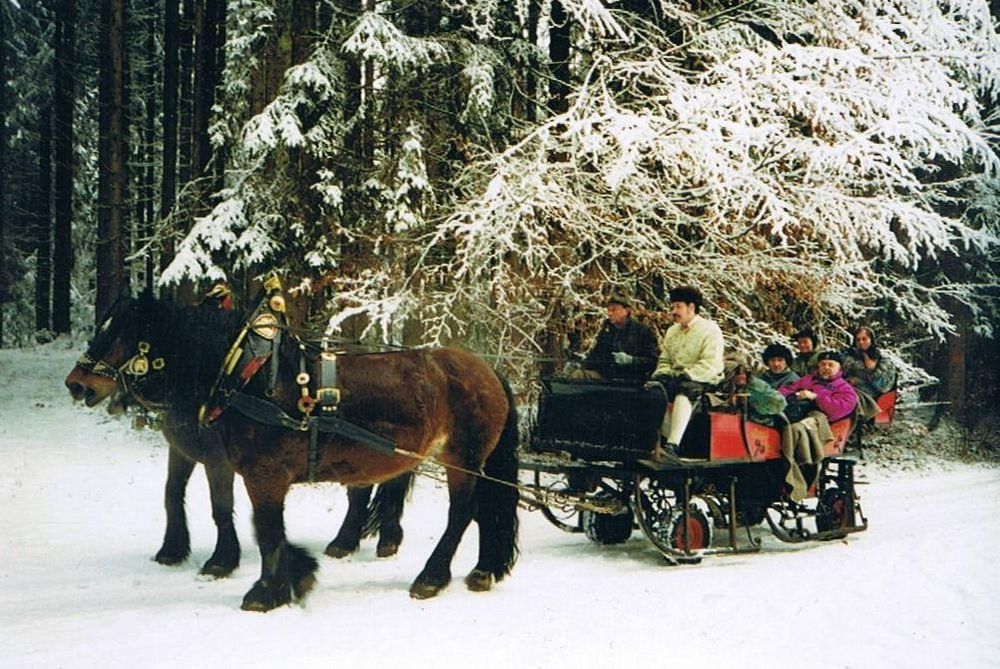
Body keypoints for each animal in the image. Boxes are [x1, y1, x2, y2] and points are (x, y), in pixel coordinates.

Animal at [66, 292, 520, 612]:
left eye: (120, 333)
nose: (77, 384)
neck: (246, 378)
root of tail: (488, 370)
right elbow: (241, 519)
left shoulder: (261, 474)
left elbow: (266, 530)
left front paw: (265, 591)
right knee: (483, 510)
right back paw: (481, 571)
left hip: (462, 458)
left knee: (462, 513)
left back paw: (431, 577)